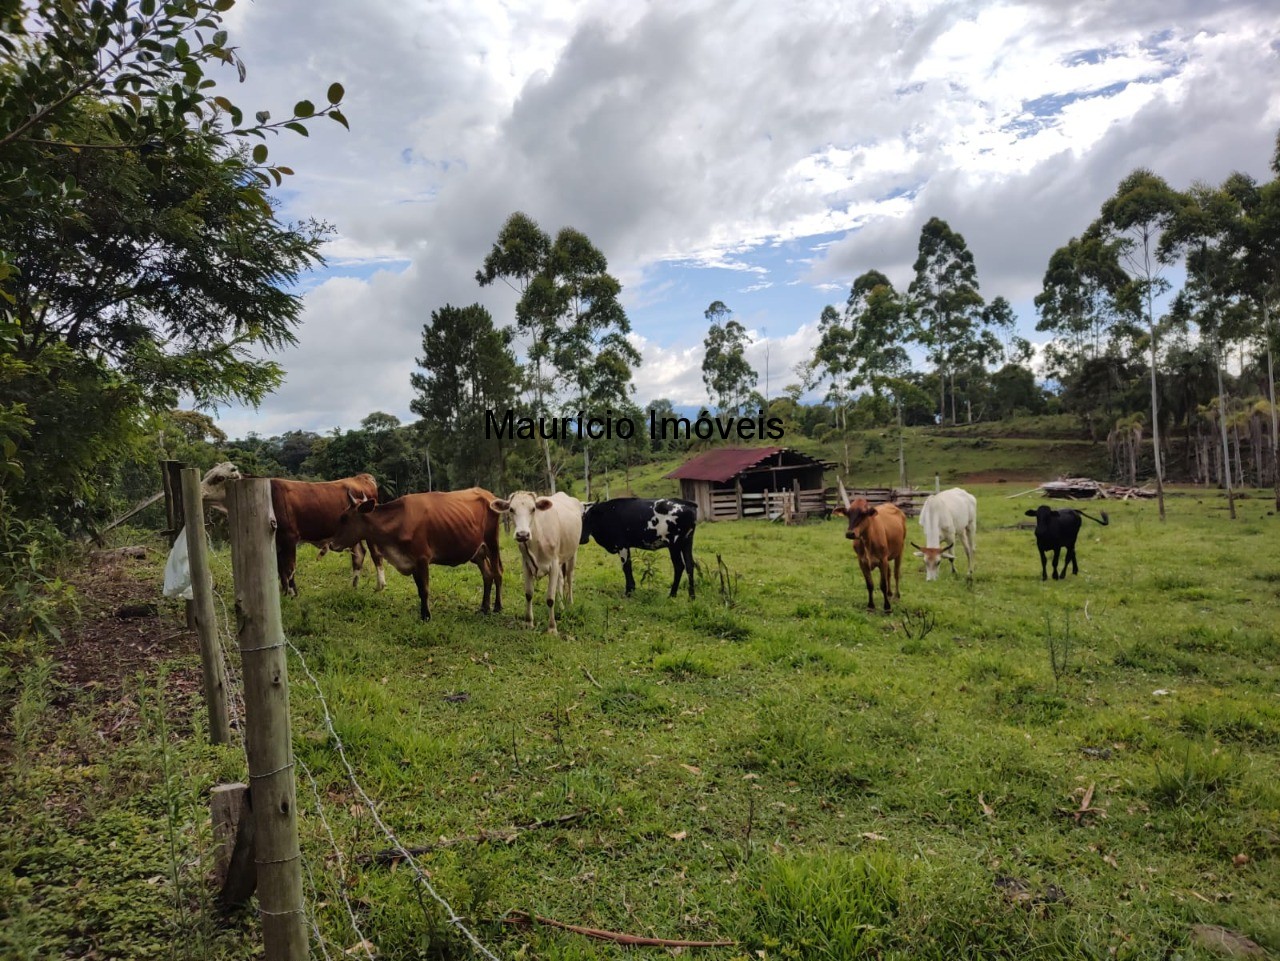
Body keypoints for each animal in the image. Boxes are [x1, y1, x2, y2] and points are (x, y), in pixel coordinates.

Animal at [199, 463, 384, 598]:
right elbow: (280, 569)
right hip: (352, 535)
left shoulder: (289, 538)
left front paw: (291, 594)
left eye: (219, 478)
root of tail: (361, 477)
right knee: (358, 553)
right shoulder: (276, 542)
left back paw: (379, 585)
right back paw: (353, 585)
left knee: (375, 555)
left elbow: (288, 568)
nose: (200, 493)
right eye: (206, 474)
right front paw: (287, 592)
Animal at [327, 488, 501, 624]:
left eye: (344, 518)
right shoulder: (412, 562)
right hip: (477, 552)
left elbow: (424, 590)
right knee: (487, 575)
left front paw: (427, 617)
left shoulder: (422, 559)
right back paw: (484, 608)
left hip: (492, 543)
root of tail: (488, 494)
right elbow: (419, 590)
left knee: (497, 573)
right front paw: (423, 614)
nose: (331, 544)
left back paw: (497, 607)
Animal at [486, 491, 583, 634]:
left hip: (572, 553)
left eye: (533, 509)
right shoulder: (526, 565)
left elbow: (550, 598)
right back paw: (561, 606)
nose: (522, 534)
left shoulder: (553, 564)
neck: (538, 536)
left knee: (570, 578)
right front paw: (528, 622)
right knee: (560, 580)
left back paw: (570, 603)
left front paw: (552, 628)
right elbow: (529, 594)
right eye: (511, 509)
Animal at [829, 483, 911, 611]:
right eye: (848, 514)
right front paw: (871, 606)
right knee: (889, 572)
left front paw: (887, 607)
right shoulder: (862, 562)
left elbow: (882, 584)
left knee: (896, 573)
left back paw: (896, 596)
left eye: (863, 514)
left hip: (900, 550)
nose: (850, 533)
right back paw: (889, 593)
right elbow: (870, 584)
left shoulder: (882, 560)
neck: (867, 540)